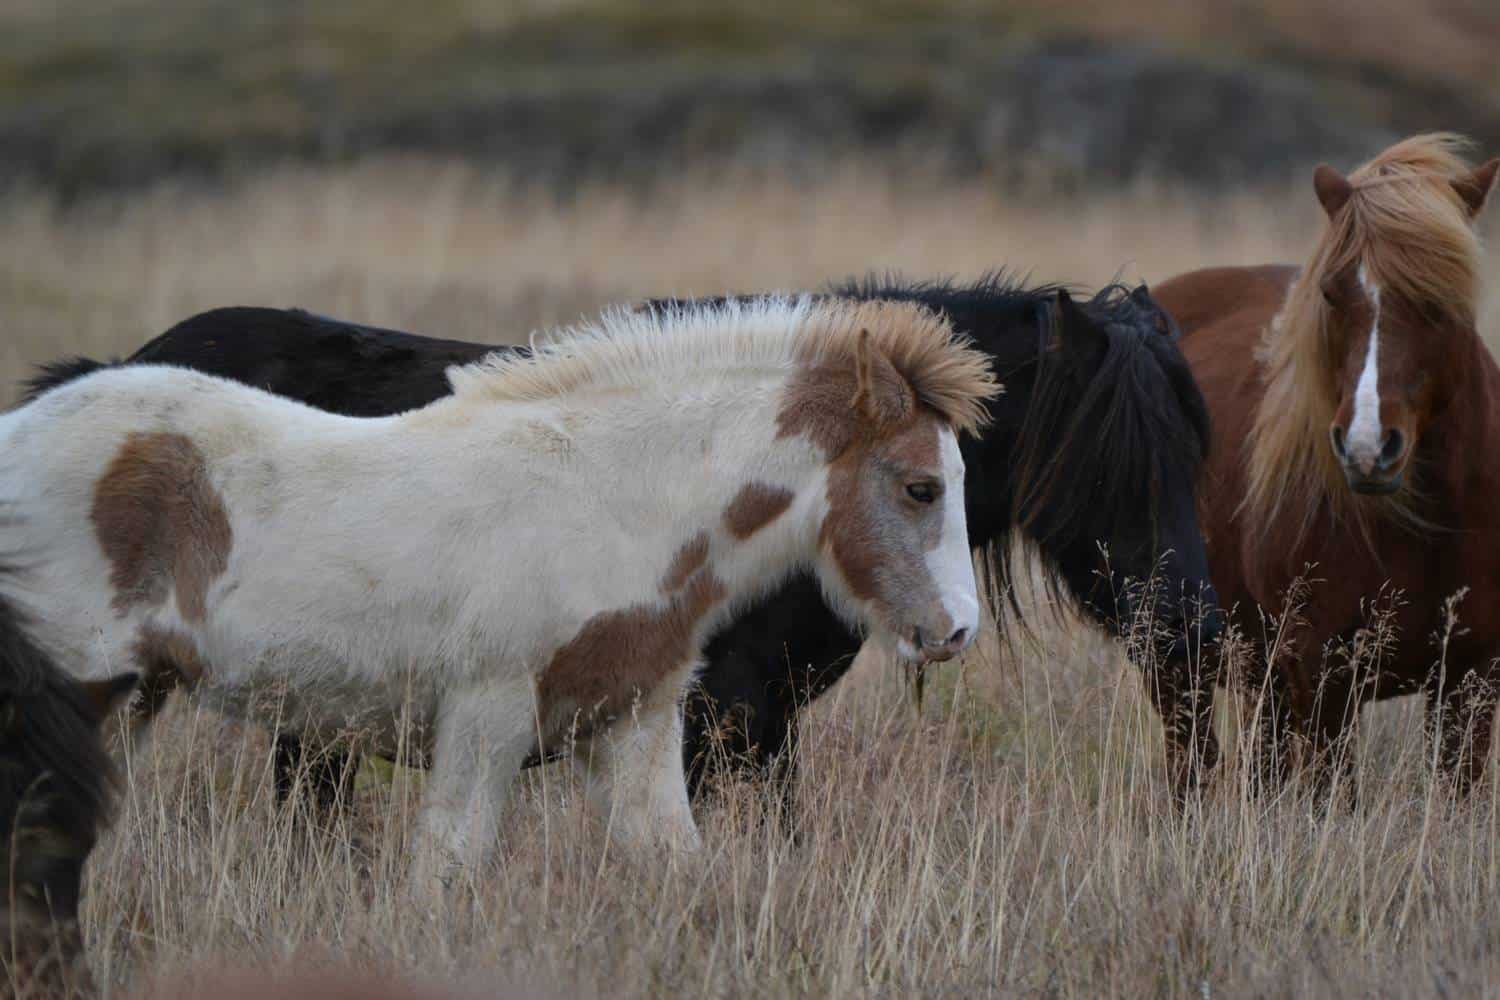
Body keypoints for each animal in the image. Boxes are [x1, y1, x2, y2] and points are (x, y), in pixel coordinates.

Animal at [2, 297, 996, 881]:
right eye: (921, 487)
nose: (954, 631)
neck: (609, 497)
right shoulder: (486, 717)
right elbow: (450, 868)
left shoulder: (634, 719)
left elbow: (676, 864)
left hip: (135, 695)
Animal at [1155, 133, 1500, 793]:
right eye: (1334, 293)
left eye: (1438, 300)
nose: (1367, 447)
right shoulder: (1326, 678)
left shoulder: (1473, 677)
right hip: (1170, 649)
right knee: (1192, 765)